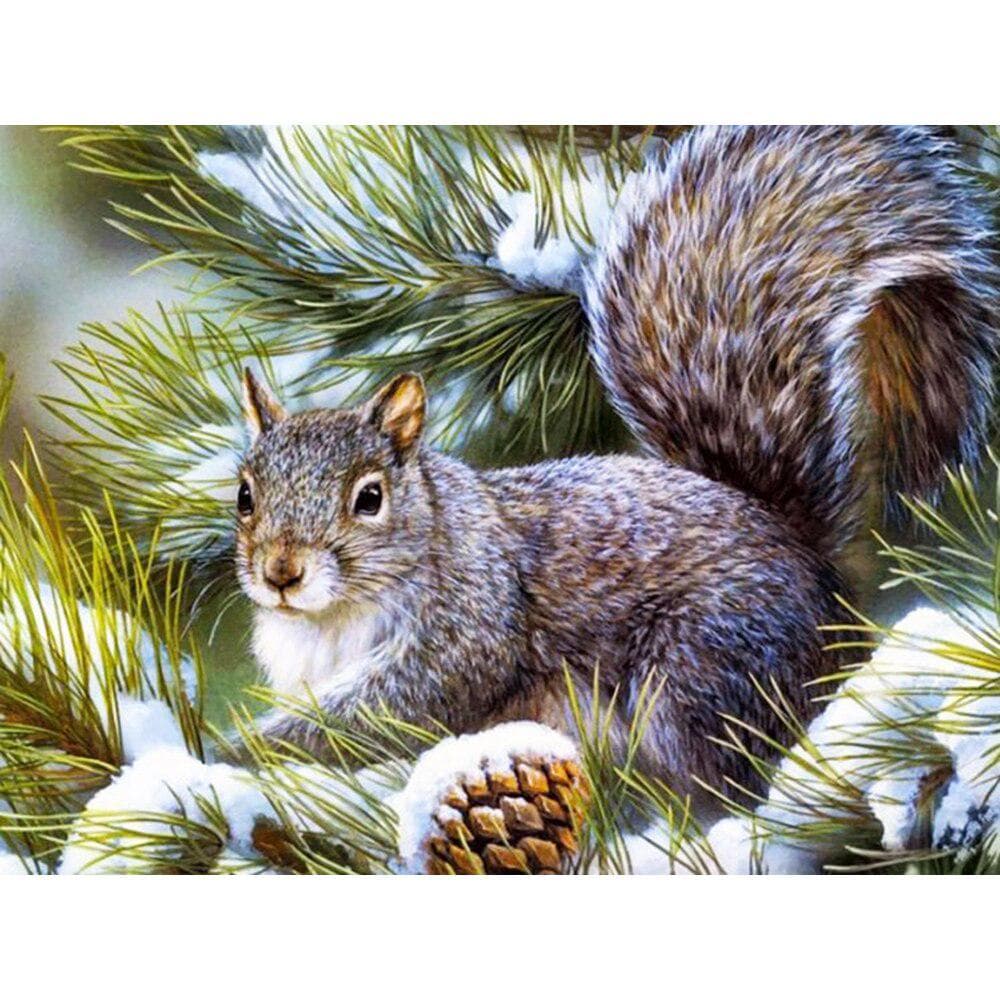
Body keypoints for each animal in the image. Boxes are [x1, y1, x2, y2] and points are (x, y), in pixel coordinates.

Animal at [234, 126, 998, 804]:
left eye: (369, 497)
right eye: (245, 495)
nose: (281, 573)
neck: (331, 618)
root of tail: (815, 575)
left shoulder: (468, 626)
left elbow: (394, 707)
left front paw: (254, 747)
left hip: (707, 666)